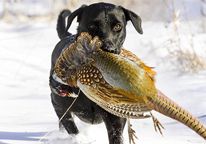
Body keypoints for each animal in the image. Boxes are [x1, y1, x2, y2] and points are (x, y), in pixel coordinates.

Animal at [50, 2, 143, 144]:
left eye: (118, 26)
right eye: (92, 26)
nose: (108, 49)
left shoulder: (115, 119)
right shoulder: (60, 106)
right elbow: (72, 130)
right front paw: (78, 139)